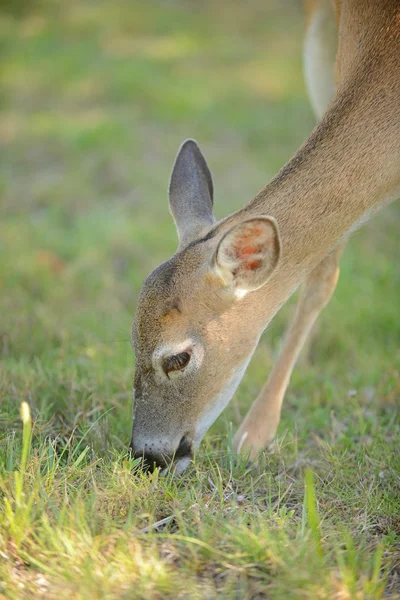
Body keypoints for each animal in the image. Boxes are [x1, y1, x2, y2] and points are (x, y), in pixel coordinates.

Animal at [130, 0, 400, 472]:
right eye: (130, 338)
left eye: (178, 358)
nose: (147, 456)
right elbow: (321, 274)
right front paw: (258, 433)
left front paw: (252, 435)